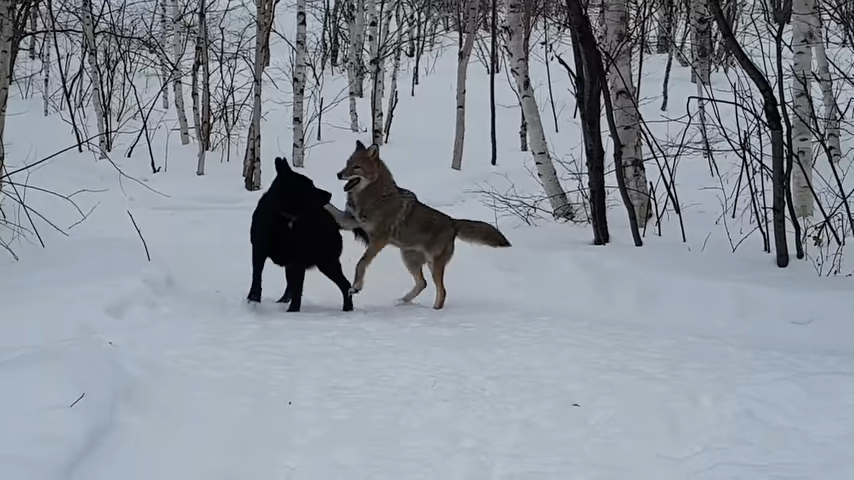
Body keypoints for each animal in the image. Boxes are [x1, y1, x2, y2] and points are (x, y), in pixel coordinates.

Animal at [246, 157, 370, 312]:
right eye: (309, 185)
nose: (329, 194)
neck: (286, 216)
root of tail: (333, 220)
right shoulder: (259, 251)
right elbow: (256, 277)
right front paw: (253, 299)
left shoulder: (298, 260)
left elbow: (298, 288)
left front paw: (293, 311)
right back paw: (281, 302)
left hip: (326, 261)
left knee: (345, 285)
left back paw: (347, 308)